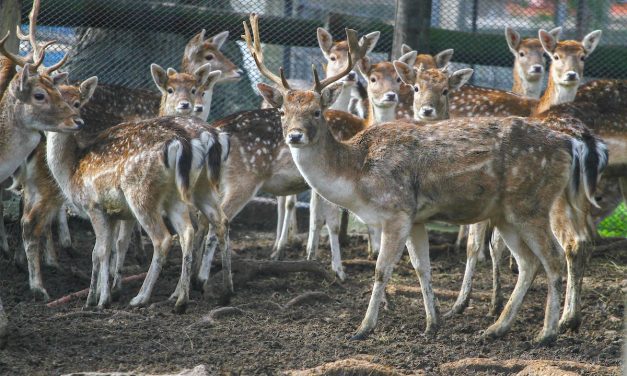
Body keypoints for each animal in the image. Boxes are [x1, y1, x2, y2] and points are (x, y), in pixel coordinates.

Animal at [249, 13, 608, 344]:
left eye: (316, 112)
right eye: (282, 112)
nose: (295, 136)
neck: (356, 175)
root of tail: (567, 143)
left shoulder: (396, 211)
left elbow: (382, 270)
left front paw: (364, 328)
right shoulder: (416, 218)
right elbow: (423, 268)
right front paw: (432, 323)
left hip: (531, 203)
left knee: (553, 257)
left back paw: (547, 332)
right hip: (507, 213)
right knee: (529, 263)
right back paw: (496, 328)